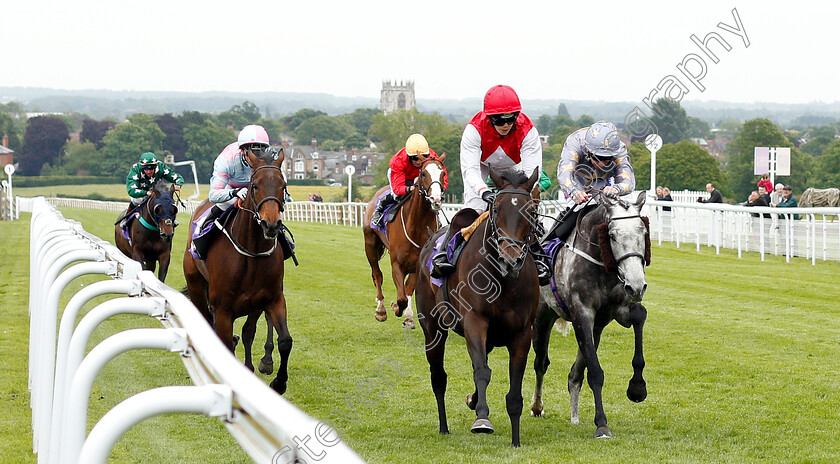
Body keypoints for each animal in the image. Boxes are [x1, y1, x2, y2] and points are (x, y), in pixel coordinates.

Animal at [180, 148, 292, 392]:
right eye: (255, 185)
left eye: (283, 185)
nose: (271, 225)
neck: (251, 251)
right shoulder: (223, 309)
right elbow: (224, 342)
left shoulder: (271, 299)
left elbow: (283, 340)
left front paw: (278, 382)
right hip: (196, 286)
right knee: (207, 320)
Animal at [364, 156, 450, 326]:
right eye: (423, 173)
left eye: (443, 173)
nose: (436, 199)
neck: (417, 226)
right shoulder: (396, 264)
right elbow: (401, 297)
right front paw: (396, 307)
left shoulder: (418, 264)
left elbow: (407, 290)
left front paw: (408, 316)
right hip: (370, 244)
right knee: (377, 275)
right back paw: (381, 309)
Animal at [416, 166, 544, 446]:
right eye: (496, 209)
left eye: (531, 211)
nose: (510, 259)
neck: (503, 281)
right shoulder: (475, 322)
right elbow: (482, 372)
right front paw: (482, 419)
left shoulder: (522, 333)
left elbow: (514, 387)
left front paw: (515, 439)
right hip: (432, 329)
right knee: (439, 377)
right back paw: (444, 426)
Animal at [532, 191, 648, 438]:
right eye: (612, 235)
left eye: (643, 232)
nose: (637, 285)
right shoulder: (582, 314)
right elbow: (595, 372)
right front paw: (602, 424)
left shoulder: (614, 311)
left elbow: (639, 316)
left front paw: (637, 387)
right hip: (542, 319)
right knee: (541, 363)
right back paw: (537, 406)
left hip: (595, 329)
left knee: (574, 374)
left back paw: (574, 415)